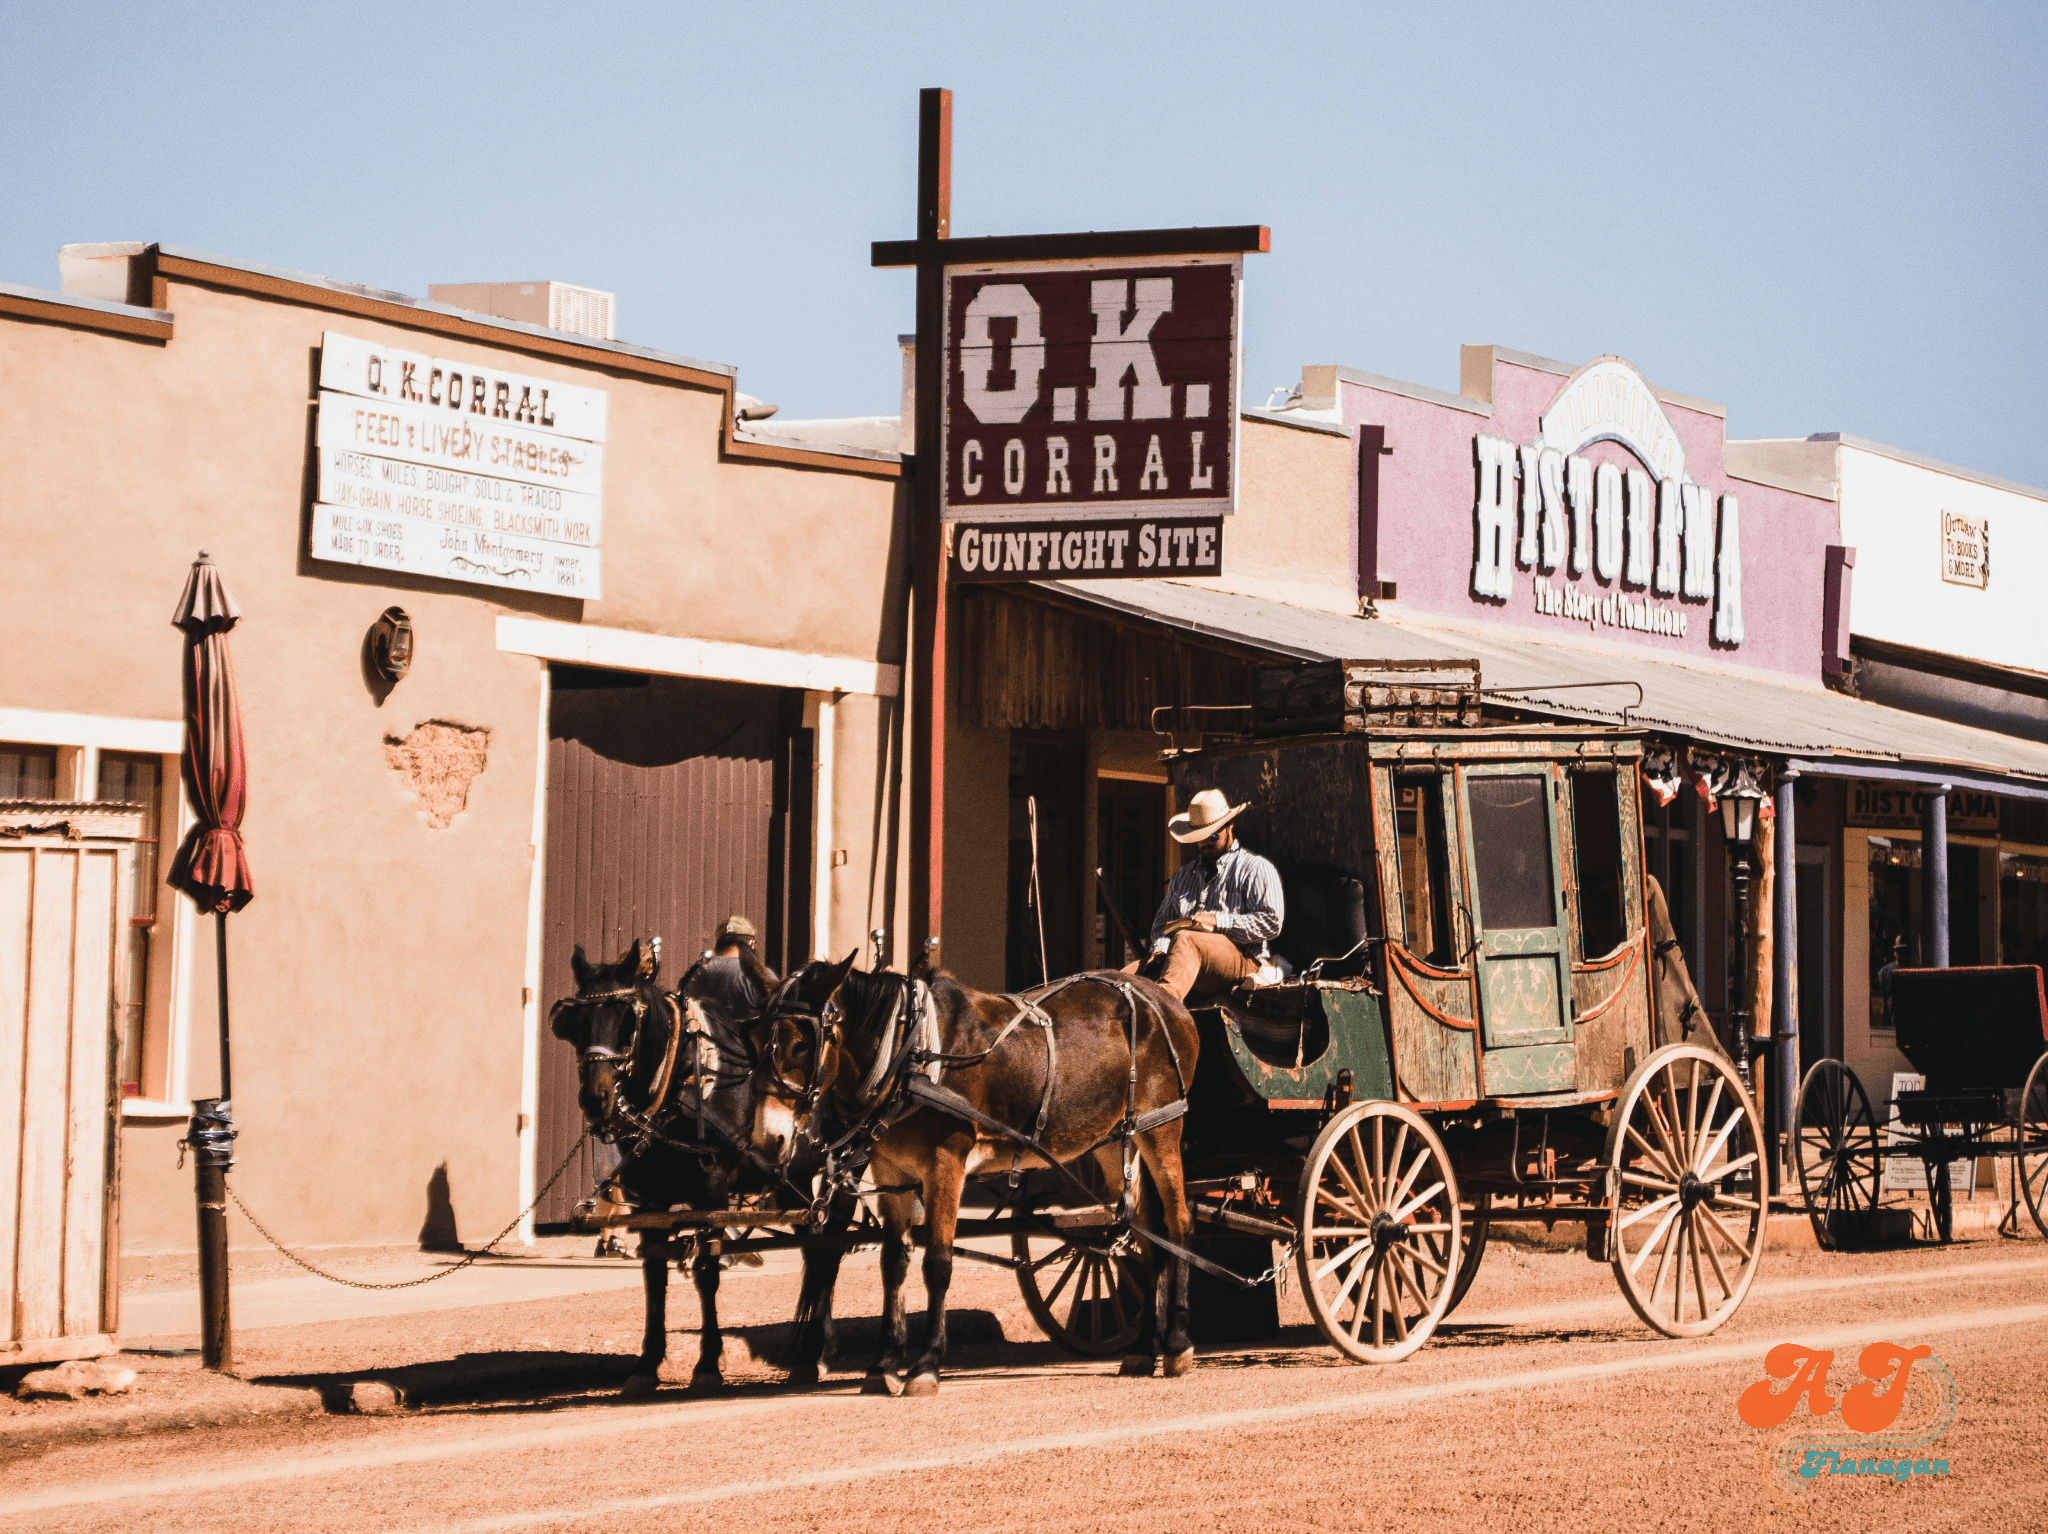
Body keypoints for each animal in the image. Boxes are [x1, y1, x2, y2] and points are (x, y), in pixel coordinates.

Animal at [548, 938, 843, 1392]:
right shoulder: (649, 1197)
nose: (596, 1099)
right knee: (816, 1252)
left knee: (831, 1251)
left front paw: (707, 1365)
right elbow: (654, 1273)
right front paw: (647, 1363)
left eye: (626, 1021)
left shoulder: (712, 1192)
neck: (681, 1079)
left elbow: (706, 1270)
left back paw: (819, 1351)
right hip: (790, 1184)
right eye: (576, 1021)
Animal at [753, 950, 1196, 1392]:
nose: (767, 1140)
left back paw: (1176, 1343)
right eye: (757, 1042)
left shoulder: (946, 1163)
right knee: (1146, 1235)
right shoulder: (890, 1170)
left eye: (801, 1044)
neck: (912, 1055)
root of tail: (1163, 998)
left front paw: (926, 1364)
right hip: (1113, 1140)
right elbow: (893, 1265)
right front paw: (884, 1364)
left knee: (1177, 1224)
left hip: (1160, 1127)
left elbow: (938, 1263)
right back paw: (1143, 1348)